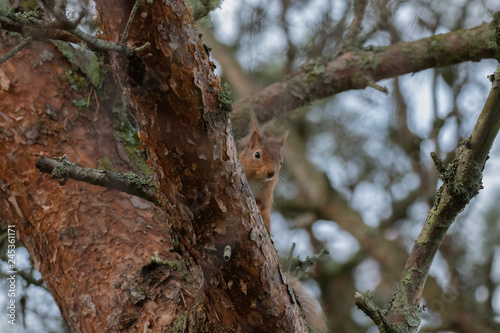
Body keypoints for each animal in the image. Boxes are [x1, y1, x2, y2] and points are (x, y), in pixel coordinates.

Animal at [239, 118, 328, 332]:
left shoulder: (266, 198)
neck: (257, 180)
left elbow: (262, 206)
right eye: (257, 154)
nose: (271, 173)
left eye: (281, 162)